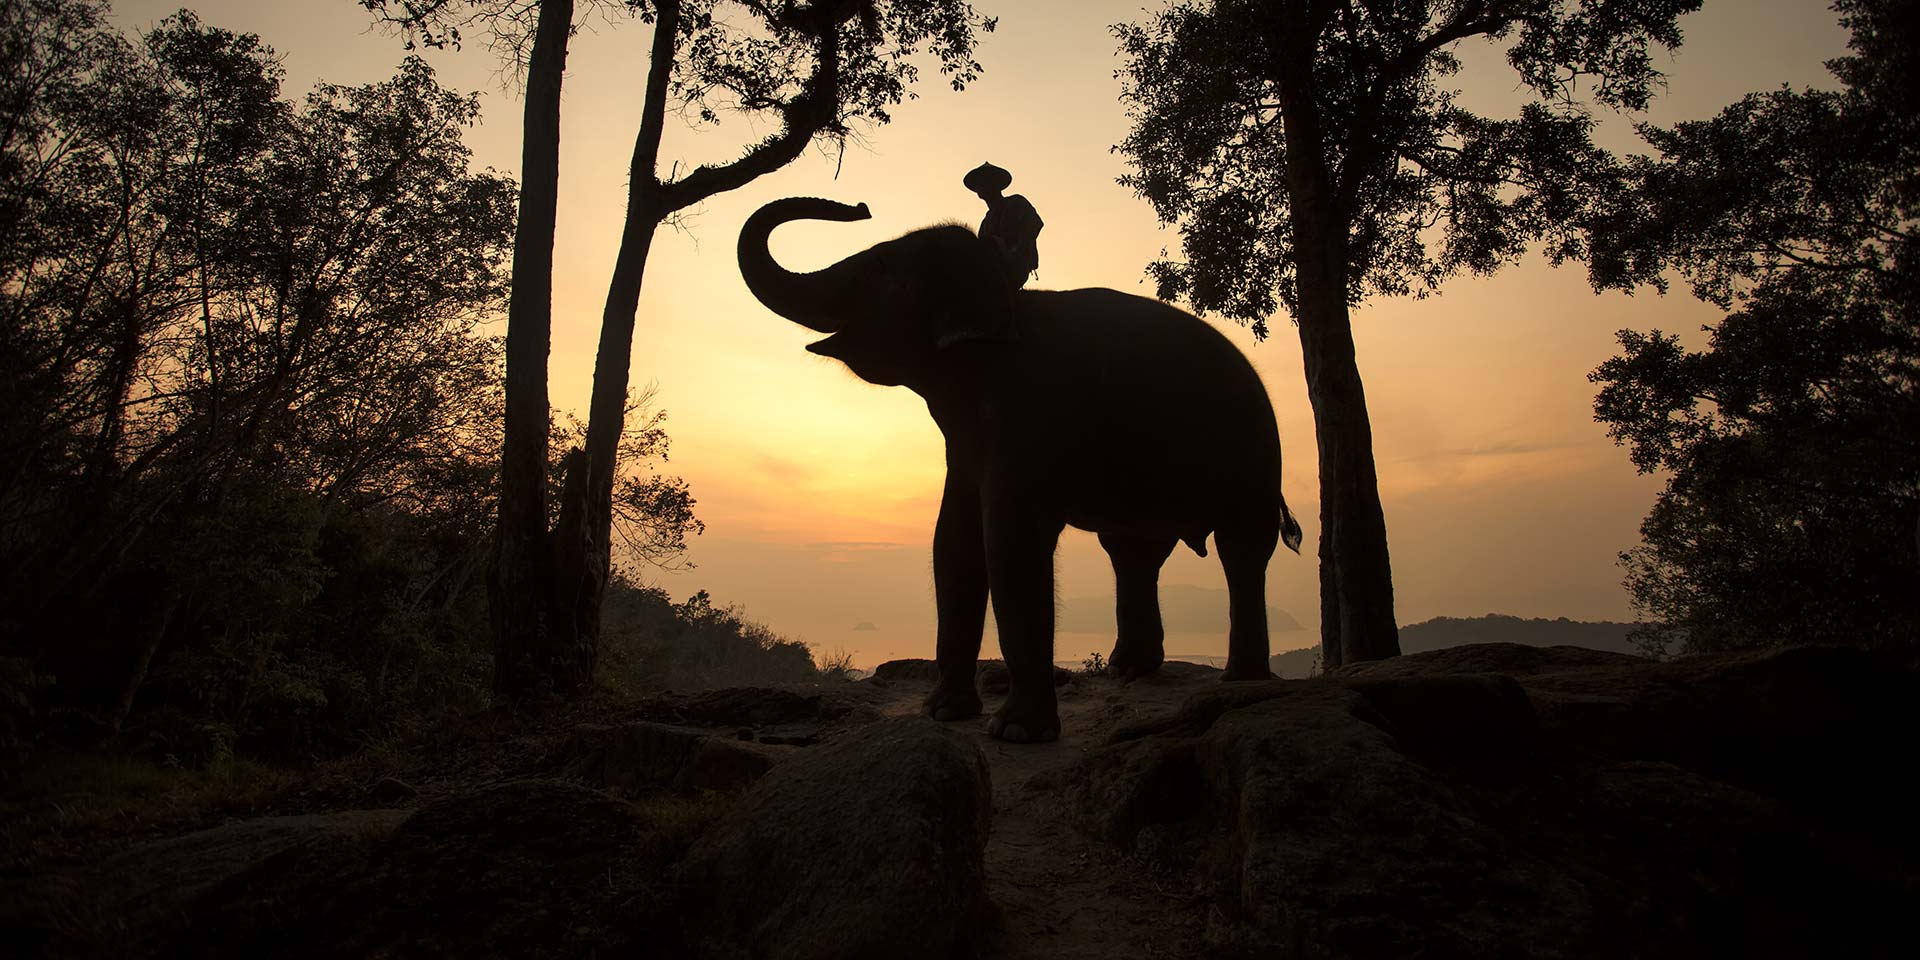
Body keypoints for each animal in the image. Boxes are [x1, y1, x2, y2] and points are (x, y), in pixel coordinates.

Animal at [738, 197, 1303, 742]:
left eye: (879, 268)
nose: (857, 207)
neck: (1004, 299)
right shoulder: (968, 441)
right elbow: (954, 539)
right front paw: (944, 712)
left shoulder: (1032, 415)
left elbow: (1011, 539)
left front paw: (1016, 731)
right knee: (1133, 551)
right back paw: (1129, 670)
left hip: (1255, 456)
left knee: (1241, 549)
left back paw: (1240, 679)